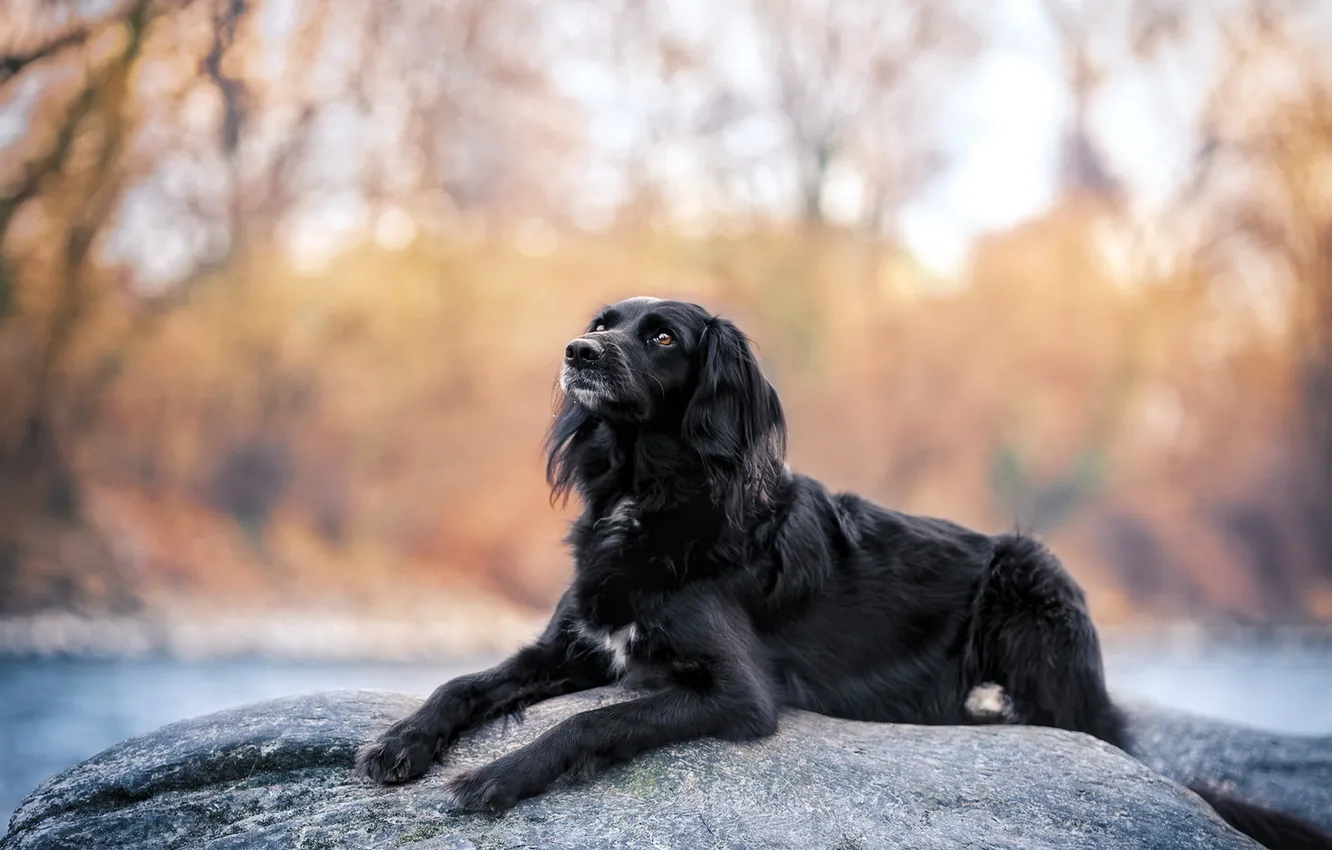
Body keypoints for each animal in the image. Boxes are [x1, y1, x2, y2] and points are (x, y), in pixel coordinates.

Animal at [356, 299, 1332, 850]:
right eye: (603, 325)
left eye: (660, 335)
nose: (575, 352)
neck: (653, 496)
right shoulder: (580, 643)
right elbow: (462, 683)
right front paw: (400, 742)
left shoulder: (735, 694)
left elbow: (591, 724)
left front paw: (497, 777)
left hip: (1033, 564)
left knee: (1068, 722)